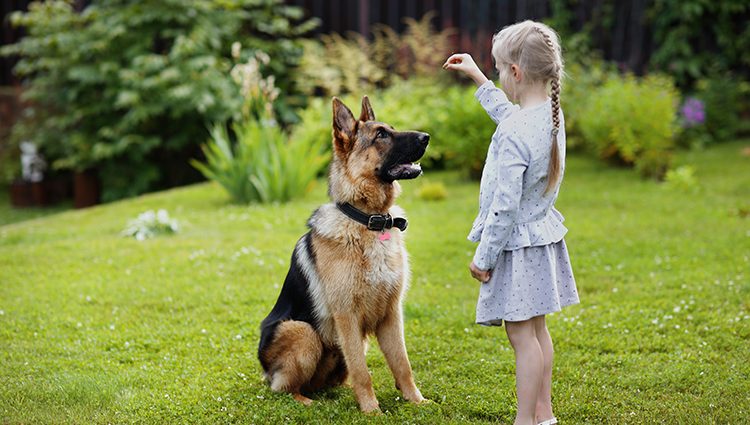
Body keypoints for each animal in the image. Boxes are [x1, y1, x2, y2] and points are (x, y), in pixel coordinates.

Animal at [258, 95, 432, 410]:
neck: (370, 221)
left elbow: (402, 363)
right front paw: (372, 411)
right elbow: (363, 371)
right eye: (381, 135)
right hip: (303, 332)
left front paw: (416, 400)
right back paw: (306, 400)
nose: (427, 136)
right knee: (284, 387)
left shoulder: (392, 314)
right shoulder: (346, 316)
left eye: (391, 128)